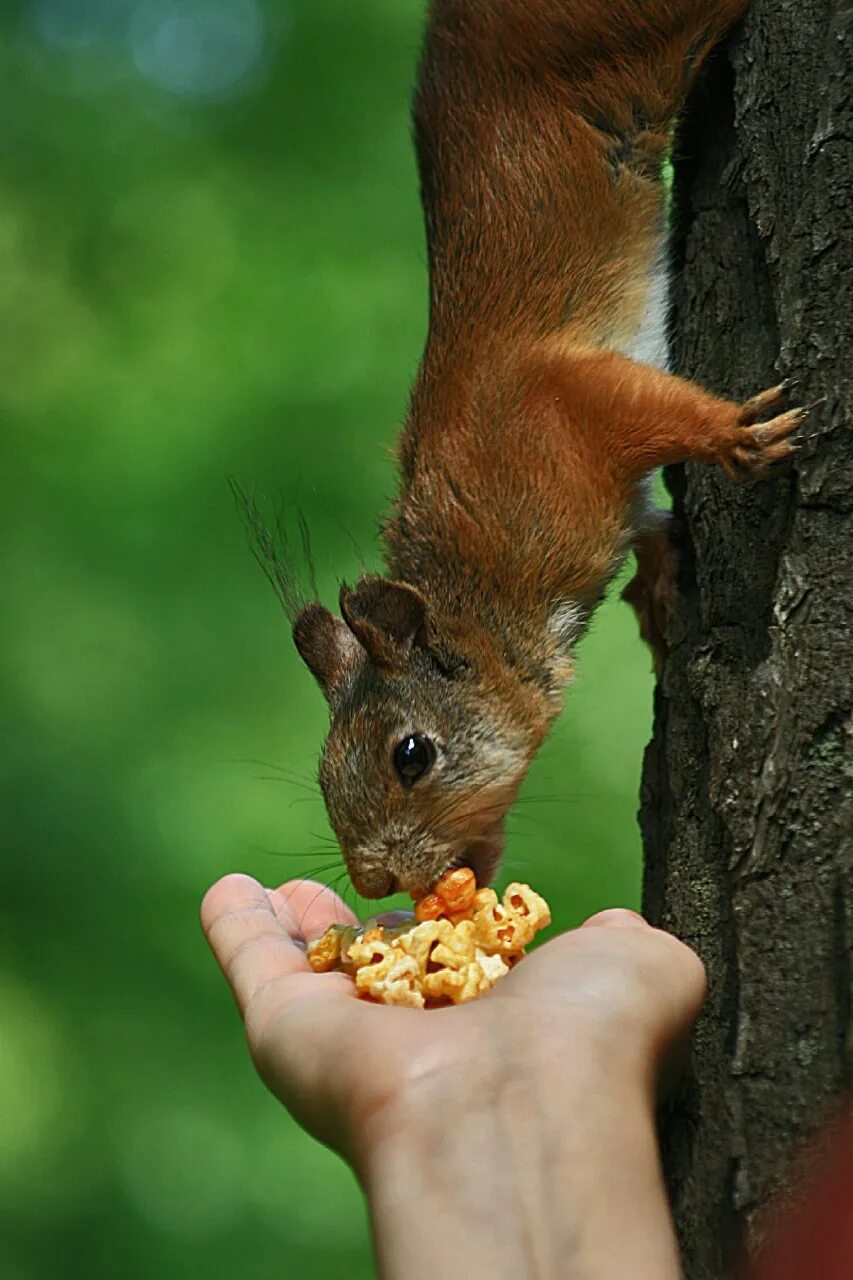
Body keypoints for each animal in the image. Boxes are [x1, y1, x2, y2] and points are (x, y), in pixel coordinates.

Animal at [272, 0, 804, 901]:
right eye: (320, 775)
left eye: (410, 755)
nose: (377, 884)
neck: (486, 585)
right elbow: (651, 526)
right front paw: (659, 598)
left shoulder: (556, 406)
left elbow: (650, 413)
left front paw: (736, 434)